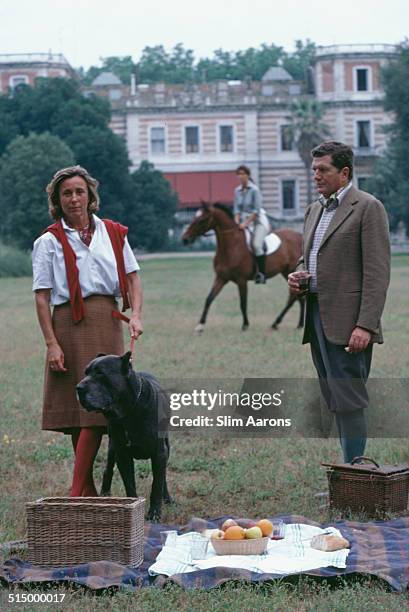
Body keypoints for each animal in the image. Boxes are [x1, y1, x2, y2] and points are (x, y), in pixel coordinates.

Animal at [76, 352, 171, 520]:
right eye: (85, 372)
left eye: (100, 373)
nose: (78, 388)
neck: (128, 411)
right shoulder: (122, 454)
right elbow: (129, 484)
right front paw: (133, 507)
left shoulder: (159, 452)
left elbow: (156, 484)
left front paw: (154, 513)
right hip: (112, 447)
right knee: (108, 469)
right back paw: (105, 493)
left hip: (167, 446)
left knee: (162, 476)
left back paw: (167, 497)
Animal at [181, 203, 302, 332]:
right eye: (194, 217)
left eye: (202, 220)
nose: (185, 239)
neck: (231, 246)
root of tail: (300, 236)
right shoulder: (221, 278)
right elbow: (209, 299)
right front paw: (200, 325)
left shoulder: (241, 280)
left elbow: (243, 303)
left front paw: (245, 325)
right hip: (287, 272)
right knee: (297, 297)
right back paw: (296, 324)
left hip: (290, 271)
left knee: (294, 297)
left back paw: (278, 323)